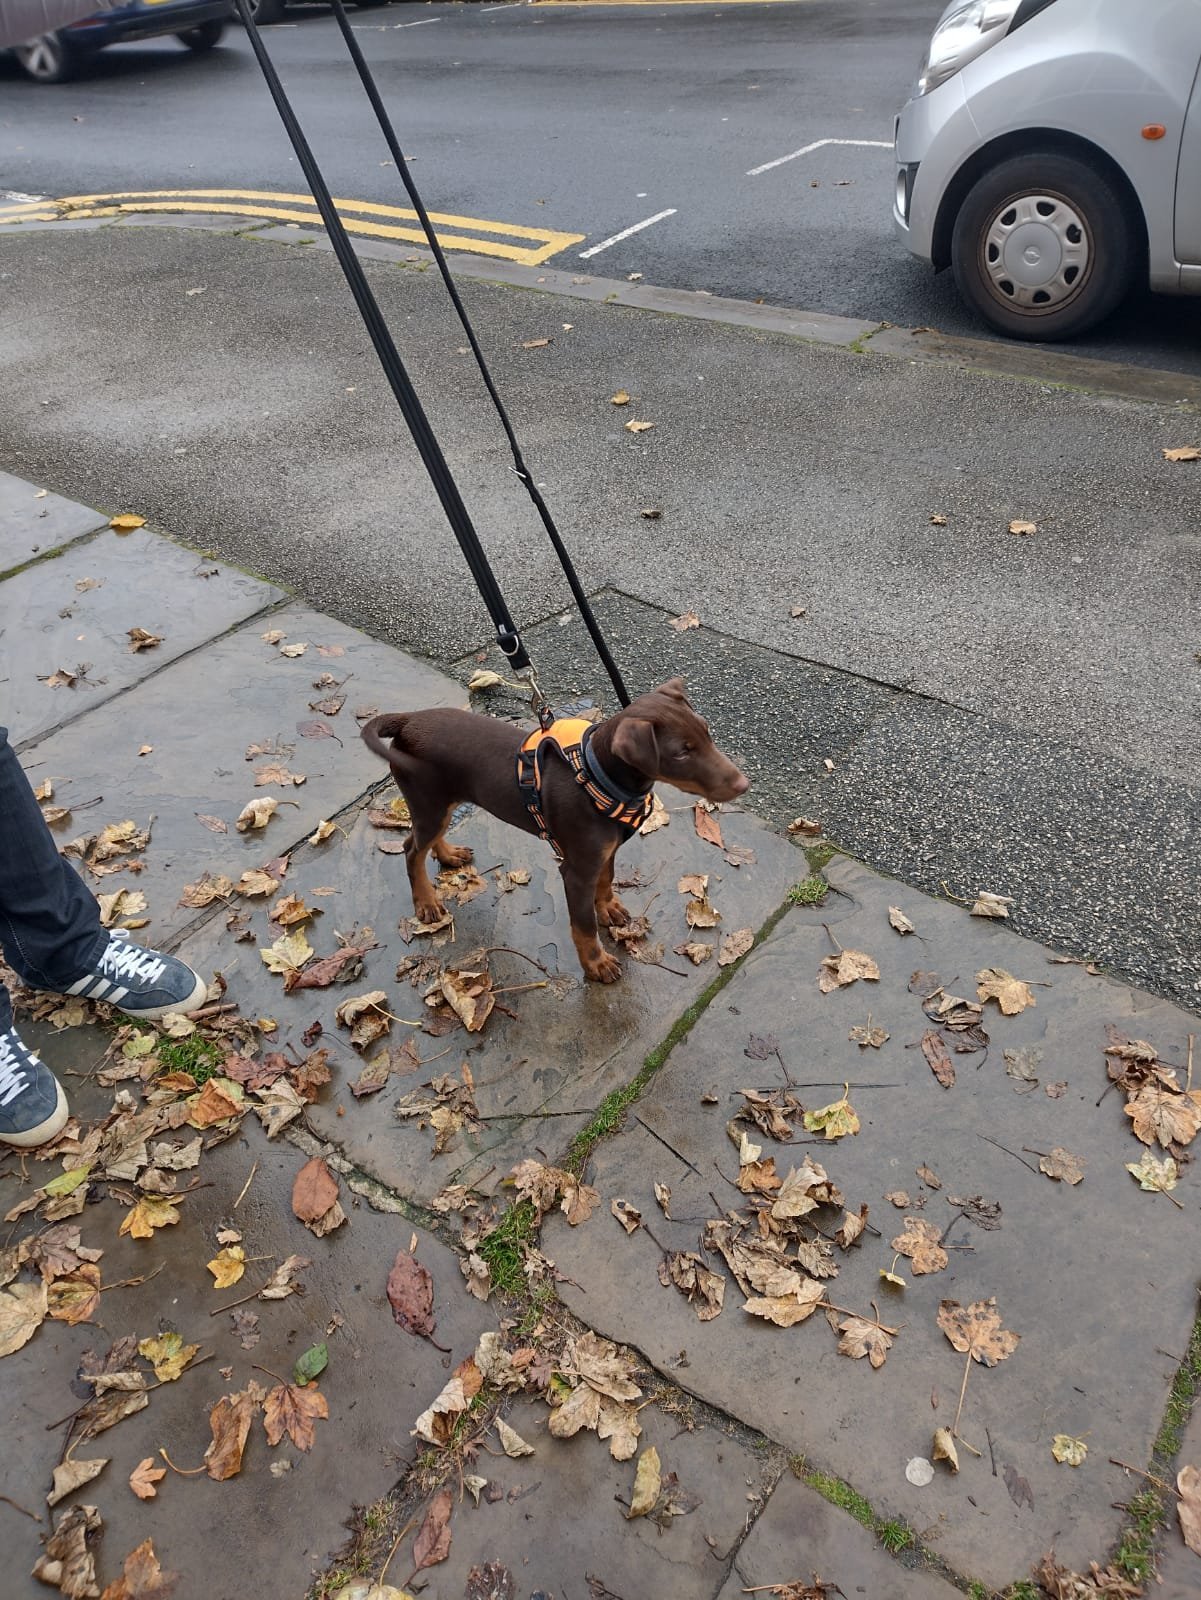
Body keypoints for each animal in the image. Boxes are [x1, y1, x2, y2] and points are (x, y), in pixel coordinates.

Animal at [361, 678, 748, 982]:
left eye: (706, 731)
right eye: (681, 753)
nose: (744, 785)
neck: (597, 776)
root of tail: (408, 720)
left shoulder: (603, 852)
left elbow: (606, 880)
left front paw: (608, 908)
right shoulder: (576, 870)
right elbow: (583, 924)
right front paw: (596, 964)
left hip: (443, 801)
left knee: (426, 840)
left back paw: (449, 855)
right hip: (427, 800)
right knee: (412, 849)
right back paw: (426, 902)